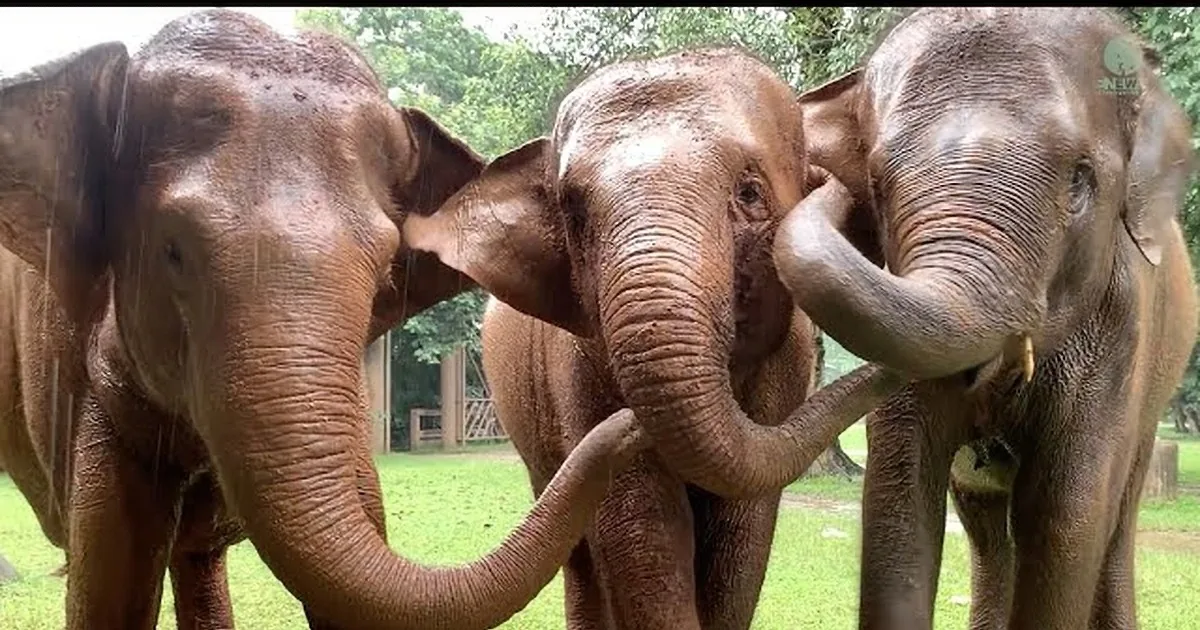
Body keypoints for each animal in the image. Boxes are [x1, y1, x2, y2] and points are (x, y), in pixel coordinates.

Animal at [403, 47, 907, 630]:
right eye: (573, 213)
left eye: (749, 192)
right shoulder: (577, 364)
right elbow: (641, 524)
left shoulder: (786, 368)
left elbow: (743, 531)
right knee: (576, 546)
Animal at [773, 7, 1199, 629]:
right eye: (876, 183)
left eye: (1080, 179)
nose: (817, 177)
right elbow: (899, 505)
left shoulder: (1122, 324)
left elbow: (1067, 518)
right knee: (986, 522)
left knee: (1117, 516)